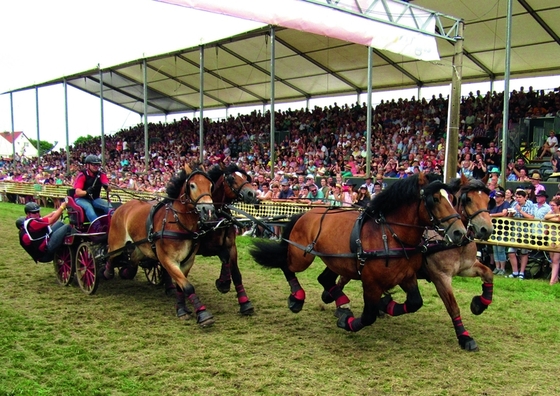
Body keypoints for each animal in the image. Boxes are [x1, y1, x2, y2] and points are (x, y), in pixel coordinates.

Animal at [105, 162, 217, 326]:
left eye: (210, 185)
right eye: (192, 185)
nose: (208, 210)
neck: (178, 223)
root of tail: (122, 206)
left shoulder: (187, 260)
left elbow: (181, 286)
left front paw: (182, 309)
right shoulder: (167, 259)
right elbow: (188, 286)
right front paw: (203, 314)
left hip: (140, 247)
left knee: (132, 260)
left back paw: (126, 272)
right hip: (117, 243)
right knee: (109, 255)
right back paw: (107, 272)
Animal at [248, 175, 464, 332]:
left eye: (453, 199)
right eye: (434, 199)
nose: (459, 232)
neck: (390, 235)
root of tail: (304, 213)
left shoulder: (407, 276)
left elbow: (414, 303)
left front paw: (385, 304)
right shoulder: (371, 283)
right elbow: (368, 316)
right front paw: (348, 321)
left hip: (336, 261)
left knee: (324, 279)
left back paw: (341, 303)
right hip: (302, 256)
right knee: (287, 265)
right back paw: (297, 298)